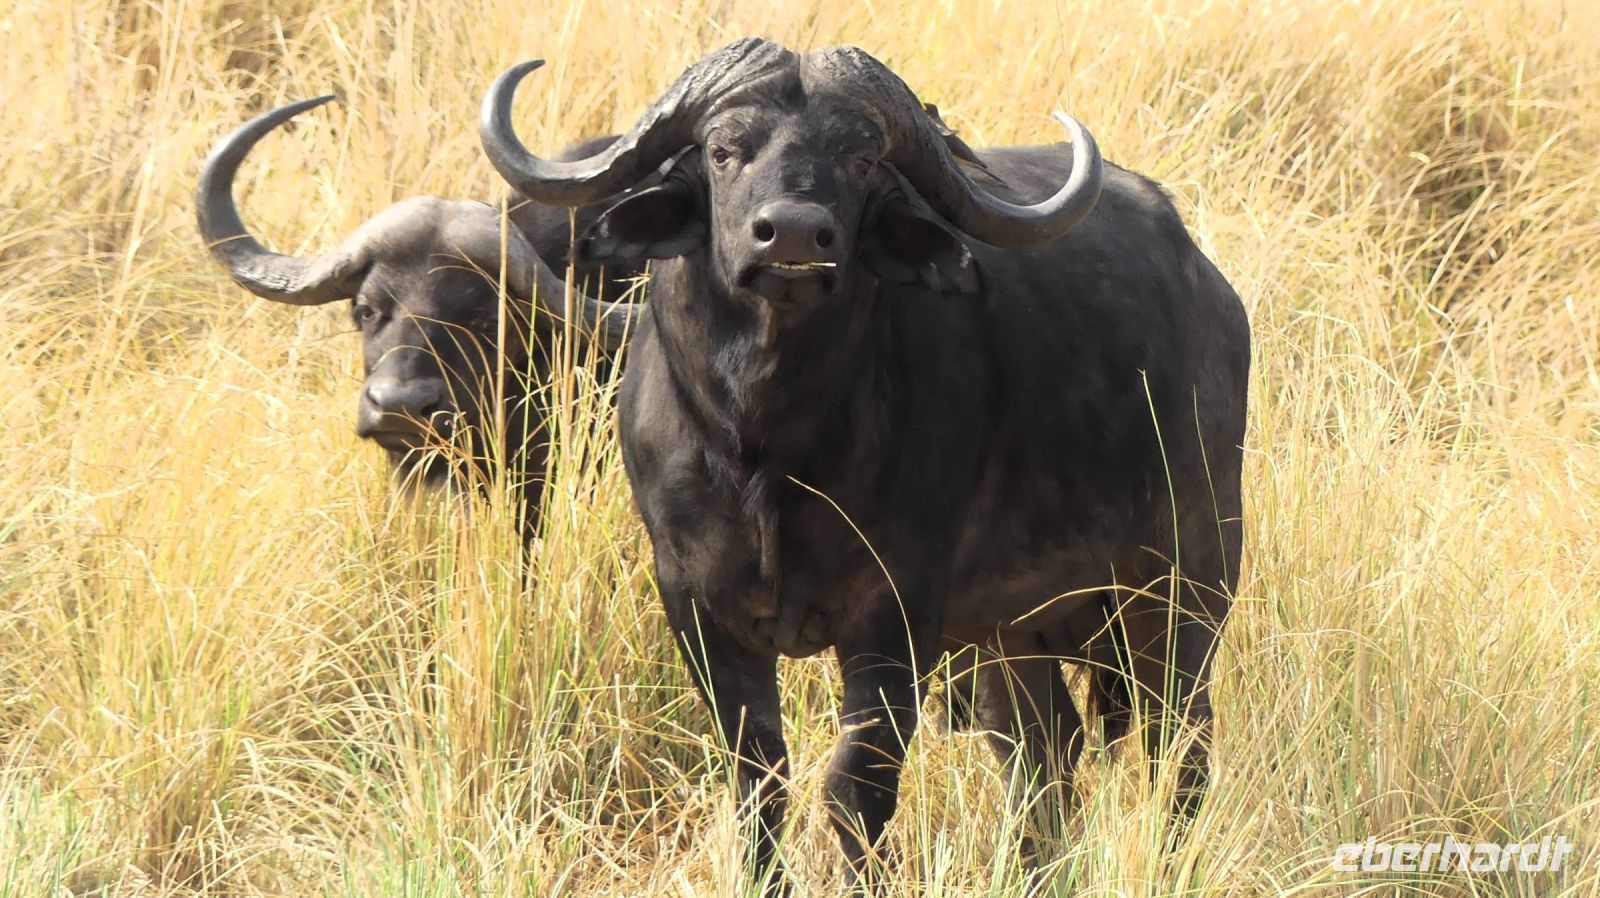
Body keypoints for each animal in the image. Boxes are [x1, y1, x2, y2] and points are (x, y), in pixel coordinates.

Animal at [482, 39, 1249, 893]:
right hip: (1016, 627)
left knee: (1178, 742)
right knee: (1042, 749)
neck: (765, 451)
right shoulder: (694, 601)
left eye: (861, 158)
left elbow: (857, 786)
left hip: (1183, 583)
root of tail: (1210, 290)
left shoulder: (895, 610)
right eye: (723, 151)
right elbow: (758, 779)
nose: (790, 235)